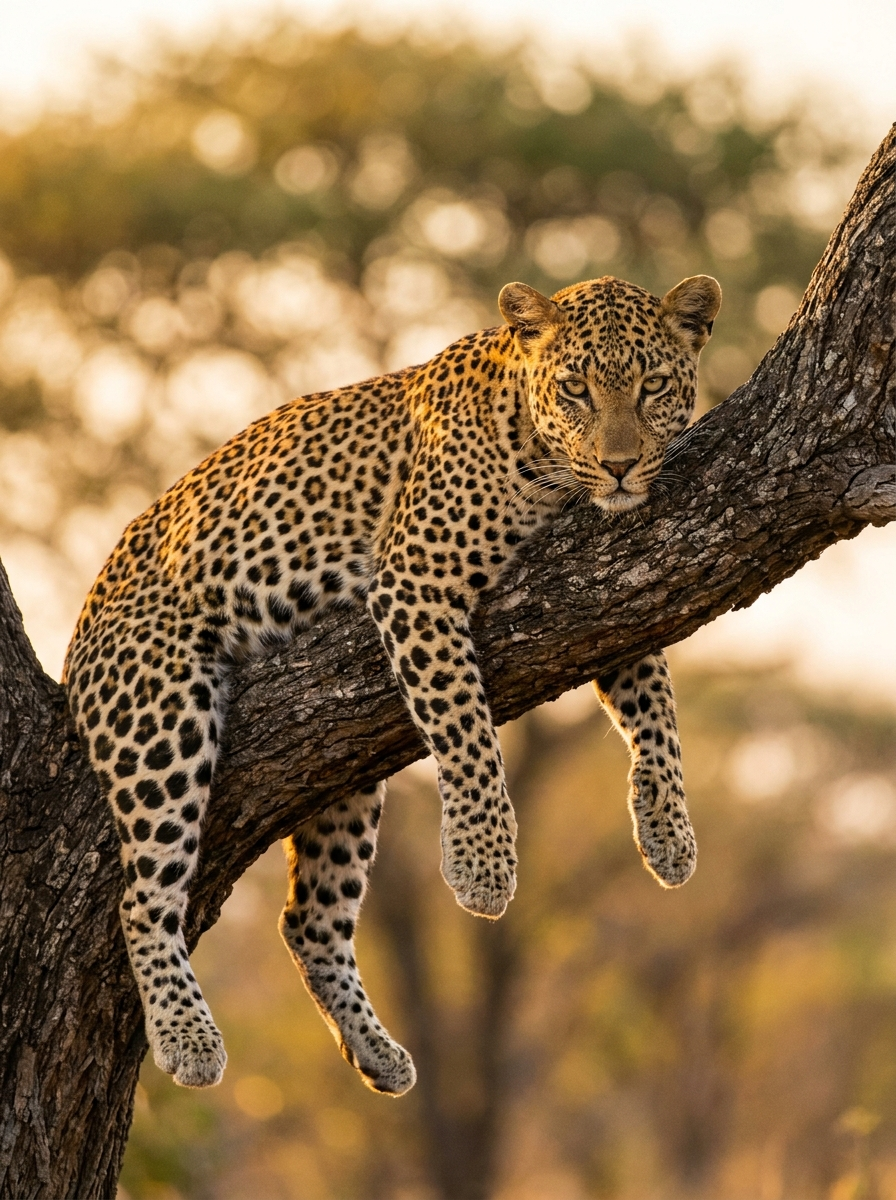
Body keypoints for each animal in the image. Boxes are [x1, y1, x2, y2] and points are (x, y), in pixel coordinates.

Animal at [63, 272, 721, 1096]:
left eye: (653, 385)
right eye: (575, 389)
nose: (622, 465)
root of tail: (77, 638)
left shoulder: (606, 592)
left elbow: (657, 708)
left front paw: (669, 834)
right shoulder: (417, 584)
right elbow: (468, 731)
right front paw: (481, 866)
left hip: (340, 771)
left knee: (308, 921)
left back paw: (378, 1053)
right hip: (159, 717)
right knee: (143, 897)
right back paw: (188, 1038)